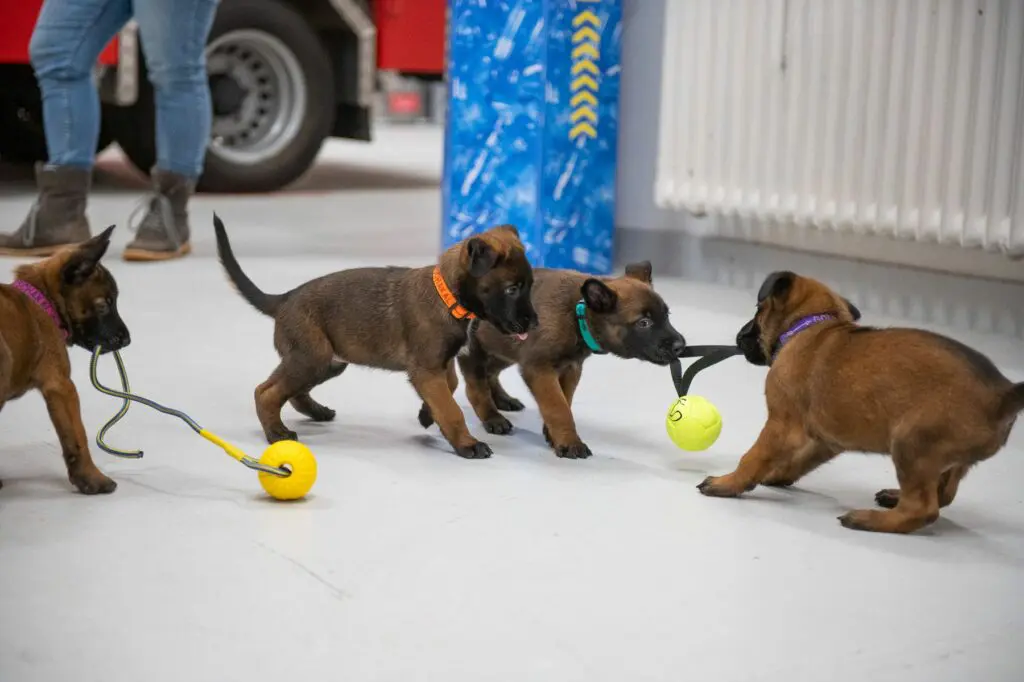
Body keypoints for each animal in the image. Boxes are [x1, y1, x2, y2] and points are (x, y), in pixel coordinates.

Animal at [0, 225, 131, 491]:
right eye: (104, 305)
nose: (127, 340)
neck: (42, 301)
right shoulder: (62, 386)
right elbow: (77, 436)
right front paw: (92, 478)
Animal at [212, 212, 540, 456]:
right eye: (512, 289)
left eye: (529, 286)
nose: (535, 323)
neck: (447, 294)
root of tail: (284, 299)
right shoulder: (426, 368)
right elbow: (450, 407)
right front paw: (467, 443)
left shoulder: (438, 364)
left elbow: (451, 386)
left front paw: (427, 413)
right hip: (311, 357)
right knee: (265, 392)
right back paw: (276, 433)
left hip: (327, 362)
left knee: (292, 392)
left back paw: (317, 412)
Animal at [417, 260, 688, 456]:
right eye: (644, 323)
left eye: (667, 315)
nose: (680, 346)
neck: (577, 312)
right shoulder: (539, 368)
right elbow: (558, 407)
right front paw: (569, 442)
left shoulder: (569, 369)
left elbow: (564, 400)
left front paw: (553, 434)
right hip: (478, 349)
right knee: (476, 386)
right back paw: (492, 416)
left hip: (504, 348)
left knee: (491, 372)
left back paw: (503, 399)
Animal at [696, 270, 1024, 532]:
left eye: (759, 309)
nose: (739, 336)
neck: (809, 326)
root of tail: (1002, 396)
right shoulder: (825, 440)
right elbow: (799, 461)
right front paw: (775, 475)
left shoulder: (781, 426)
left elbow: (753, 457)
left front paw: (729, 482)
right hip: (946, 459)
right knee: (943, 493)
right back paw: (894, 497)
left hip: (910, 443)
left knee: (923, 507)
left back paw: (870, 520)